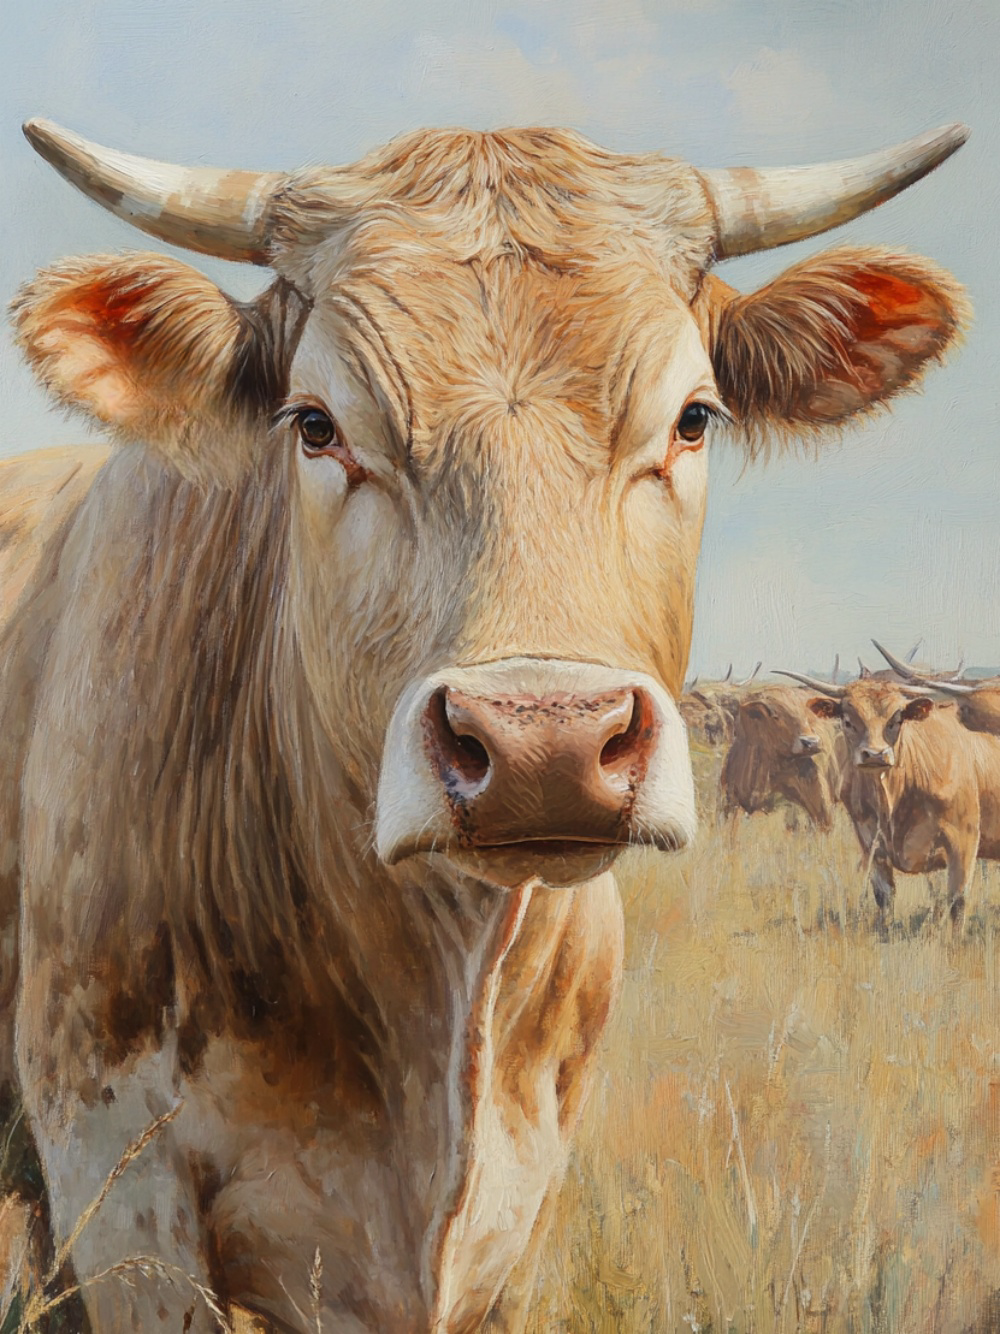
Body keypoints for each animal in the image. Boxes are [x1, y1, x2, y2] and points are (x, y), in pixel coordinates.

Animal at [782, 674, 1000, 933]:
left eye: (897, 719)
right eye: (847, 720)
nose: (875, 754)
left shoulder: (964, 839)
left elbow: (957, 900)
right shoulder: (871, 841)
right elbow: (884, 895)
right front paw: (885, 932)